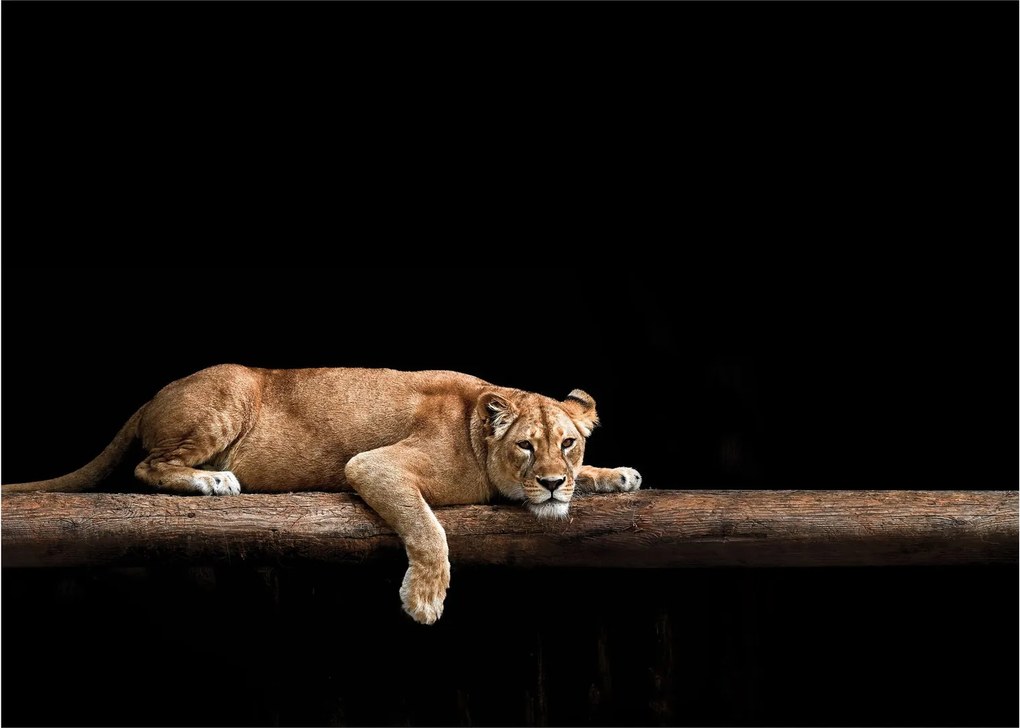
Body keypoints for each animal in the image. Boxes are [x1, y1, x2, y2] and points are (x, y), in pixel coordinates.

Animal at [1, 365, 642, 623]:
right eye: (527, 447)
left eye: (567, 444)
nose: (552, 482)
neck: (476, 427)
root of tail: (156, 393)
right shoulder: (373, 465)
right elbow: (428, 529)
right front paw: (424, 600)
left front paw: (615, 474)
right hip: (226, 395)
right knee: (147, 467)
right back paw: (212, 479)